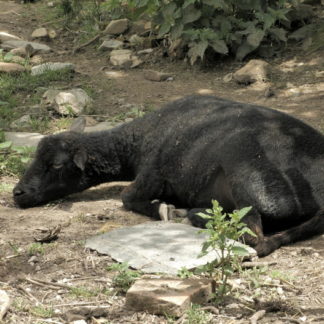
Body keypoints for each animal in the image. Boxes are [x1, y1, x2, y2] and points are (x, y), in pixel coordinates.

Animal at [13, 95, 324, 256]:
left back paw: (190, 214)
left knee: (253, 237)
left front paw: (166, 209)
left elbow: (127, 197)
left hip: (249, 175)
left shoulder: (151, 176)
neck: (137, 141)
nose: (18, 193)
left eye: (56, 165)